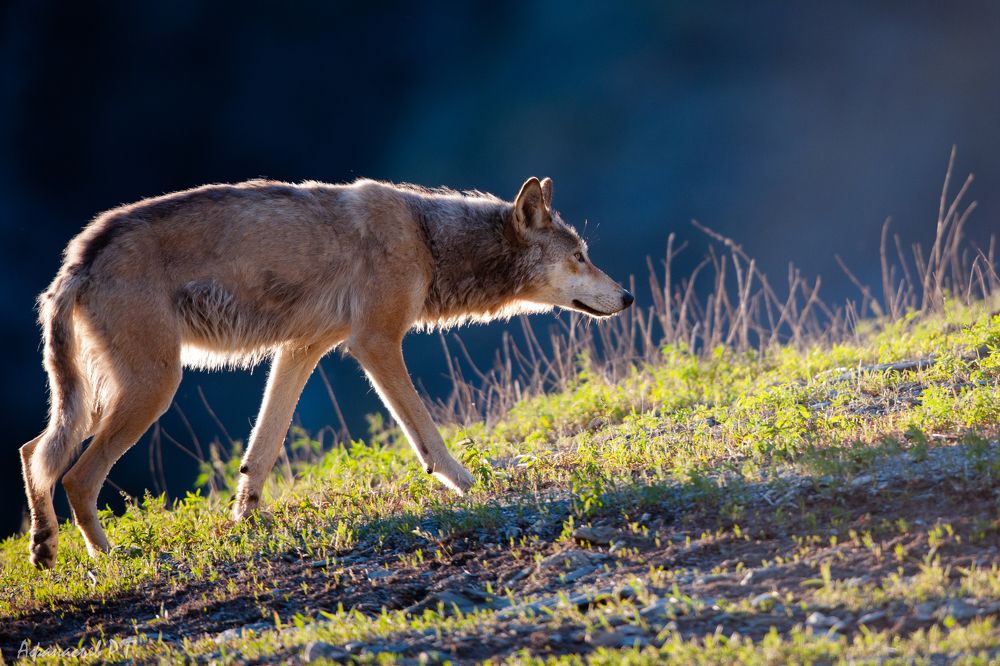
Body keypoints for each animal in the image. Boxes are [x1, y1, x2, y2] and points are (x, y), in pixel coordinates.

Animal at [20, 176, 634, 568]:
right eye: (579, 257)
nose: (627, 297)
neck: (427, 238)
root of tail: (77, 260)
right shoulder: (375, 343)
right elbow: (426, 435)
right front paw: (469, 485)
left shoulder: (301, 350)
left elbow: (261, 452)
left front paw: (244, 521)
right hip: (151, 389)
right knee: (74, 474)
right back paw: (110, 560)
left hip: (103, 396)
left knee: (33, 451)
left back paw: (44, 547)